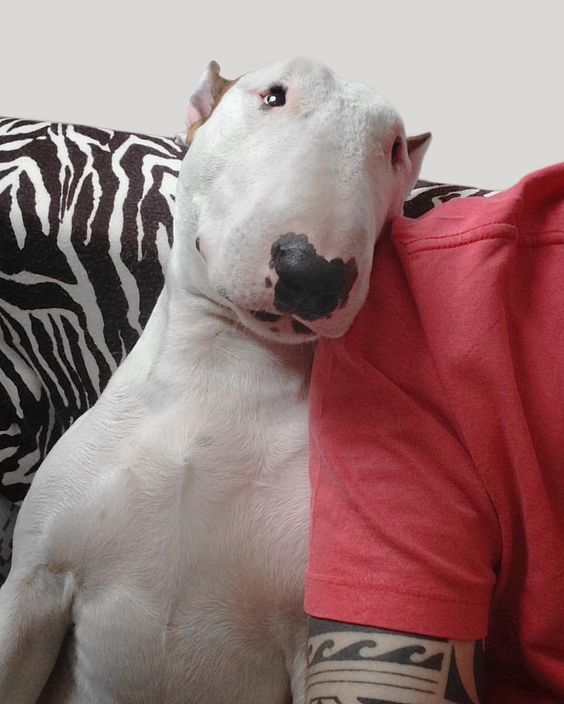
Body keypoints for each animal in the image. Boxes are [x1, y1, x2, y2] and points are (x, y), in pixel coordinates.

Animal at [0, 57, 428, 700]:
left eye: (396, 148)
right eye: (273, 95)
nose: (315, 275)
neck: (223, 372)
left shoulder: (316, 636)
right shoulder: (34, 585)